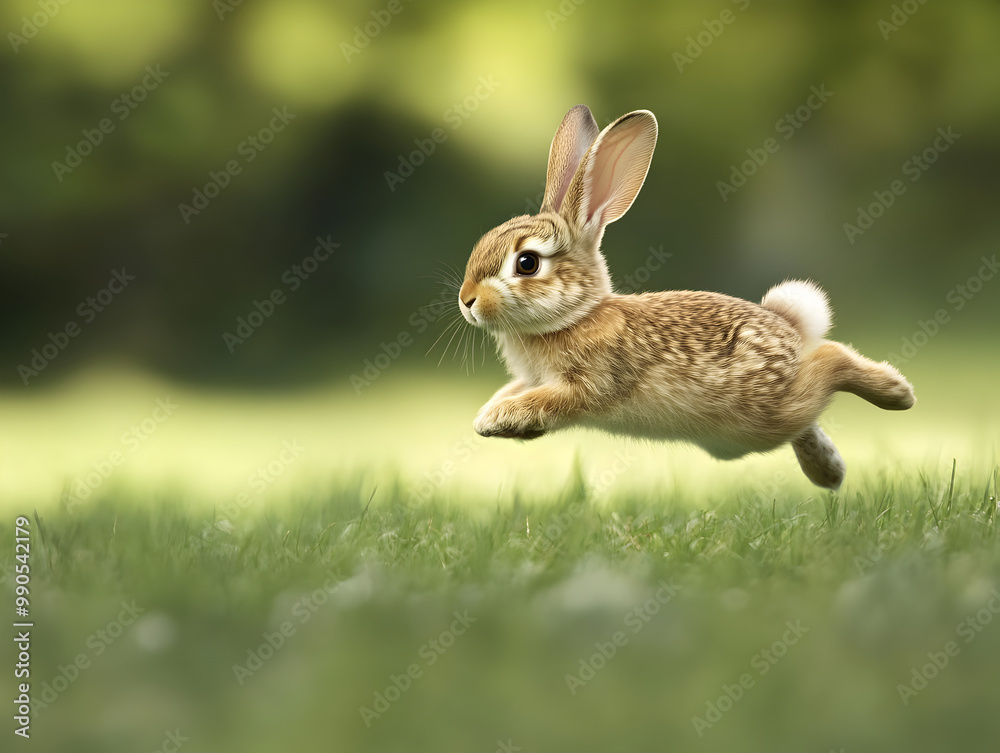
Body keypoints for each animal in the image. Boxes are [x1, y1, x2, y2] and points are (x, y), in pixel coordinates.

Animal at [457, 104, 915, 489]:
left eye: (527, 263)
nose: (467, 301)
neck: (577, 316)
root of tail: (789, 328)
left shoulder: (591, 382)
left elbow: (551, 399)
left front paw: (495, 419)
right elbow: (514, 390)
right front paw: (490, 417)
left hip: (760, 415)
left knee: (831, 359)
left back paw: (897, 394)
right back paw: (829, 470)